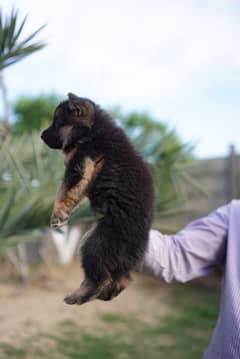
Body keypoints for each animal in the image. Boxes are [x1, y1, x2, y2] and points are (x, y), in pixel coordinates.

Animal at [40, 94, 155, 306]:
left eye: (57, 123)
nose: (42, 135)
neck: (92, 131)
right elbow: (70, 193)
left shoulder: (81, 163)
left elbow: (64, 192)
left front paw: (57, 216)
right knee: (121, 279)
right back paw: (101, 295)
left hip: (95, 244)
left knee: (102, 278)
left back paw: (78, 296)